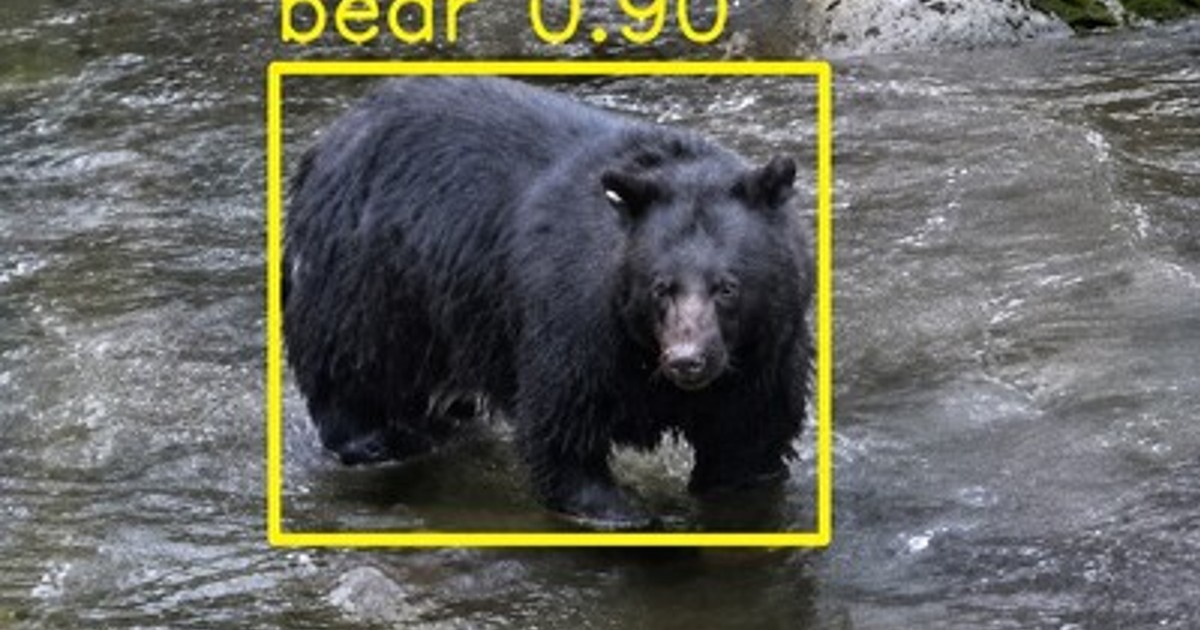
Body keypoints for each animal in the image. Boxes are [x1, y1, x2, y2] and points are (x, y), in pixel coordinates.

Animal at [283, 77, 812, 529]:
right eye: (661, 286)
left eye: (727, 286)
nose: (687, 360)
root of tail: (329, 140)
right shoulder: (576, 319)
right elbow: (562, 425)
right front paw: (621, 510)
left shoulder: (766, 353)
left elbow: (748, 438)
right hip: (366, 276)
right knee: (352, 369)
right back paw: (378, 440)